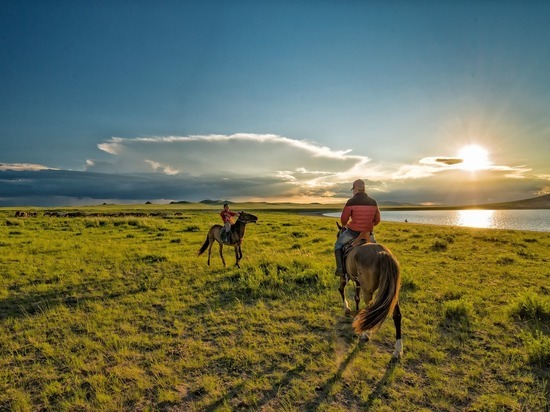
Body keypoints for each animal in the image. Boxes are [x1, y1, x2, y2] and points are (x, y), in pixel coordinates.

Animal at [336, 222, 406, 358]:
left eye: (338, 235)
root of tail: (383, 254)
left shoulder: (344, 277)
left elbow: (341, 290)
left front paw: (347, 309)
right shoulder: (358, 282)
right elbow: (356, 298)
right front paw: (356, 315)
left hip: (368, 291)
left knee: (372, 310)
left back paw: (366, 334)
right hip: (392, 293)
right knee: (397, 315)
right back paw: (398, 349)